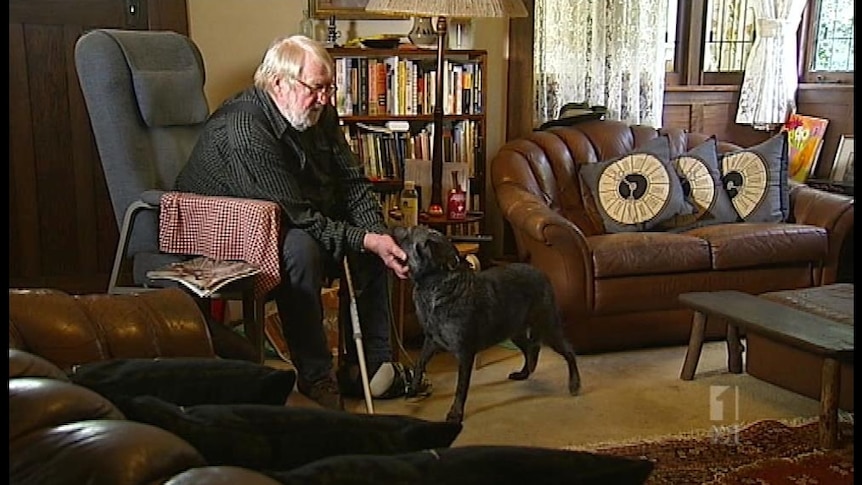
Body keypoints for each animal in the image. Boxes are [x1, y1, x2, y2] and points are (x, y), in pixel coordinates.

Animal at [394, 225, 584, 422]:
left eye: (409, 233)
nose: (394, 226)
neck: (437, 287)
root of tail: (542, 274)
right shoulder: (432, 341)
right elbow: (419, 364)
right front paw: (413, 389)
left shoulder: (465, 353)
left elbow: (461, 387)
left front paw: (456, 413)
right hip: (513, 330)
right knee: (530, 348)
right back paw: (524, 372)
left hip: (547, 326)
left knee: (568, 351)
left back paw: (574, 384)